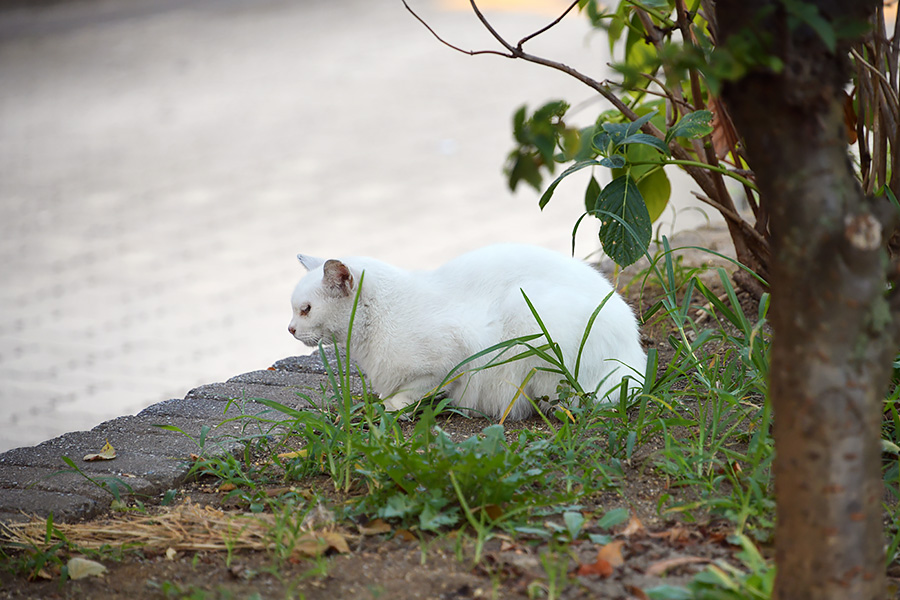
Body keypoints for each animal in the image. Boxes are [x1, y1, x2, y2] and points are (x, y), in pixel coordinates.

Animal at [284, 241, 644, 420]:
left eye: (306, 309)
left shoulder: (452, 357)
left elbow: (416, 389)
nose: (289, 329)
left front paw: (392, 406)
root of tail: (635, 358)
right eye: (294, 308)